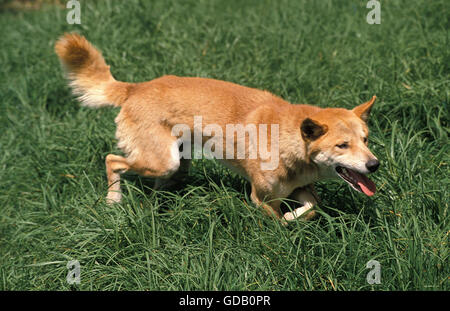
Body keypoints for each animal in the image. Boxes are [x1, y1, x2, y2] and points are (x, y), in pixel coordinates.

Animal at [55, 33, 380, 224]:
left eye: (366, 140)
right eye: (342, 145)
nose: (374, 165)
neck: (287, 139)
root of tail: (135, 88)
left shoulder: (301, 186)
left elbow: (313, 206)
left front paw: (294, 217)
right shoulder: (261, 198)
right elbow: (277, 222)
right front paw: (285, 226)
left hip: (176, 161)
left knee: (159, 180)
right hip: (161, 161)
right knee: (112, 160)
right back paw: (114, 201)